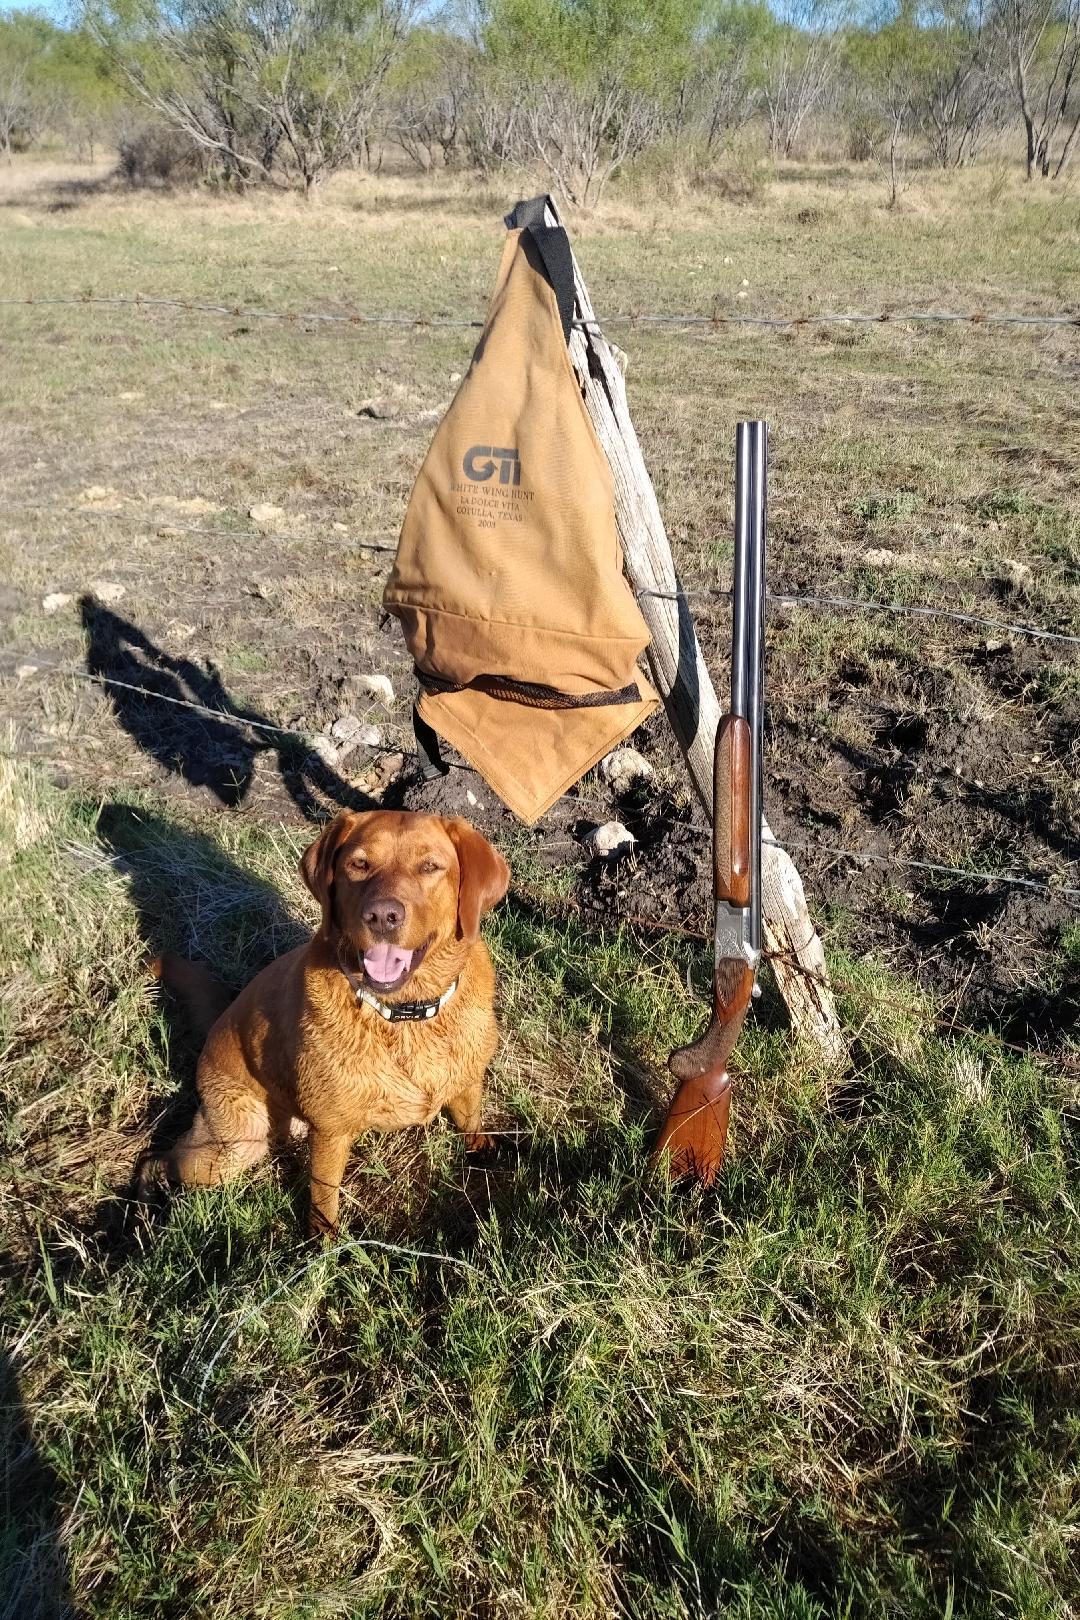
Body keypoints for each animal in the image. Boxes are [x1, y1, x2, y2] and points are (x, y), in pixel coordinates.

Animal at [140, 810, 511, 1237]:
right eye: (359, 864)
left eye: (430, 867)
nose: (382, 916)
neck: (404, 1015)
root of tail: (221, 1016)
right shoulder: (331, 1133)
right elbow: (324, 1196)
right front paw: (325, 1244)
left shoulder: (468, 1079)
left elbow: (471, 1119)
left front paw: (483, 1150)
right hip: (232, 1148)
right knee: (158, 1158)